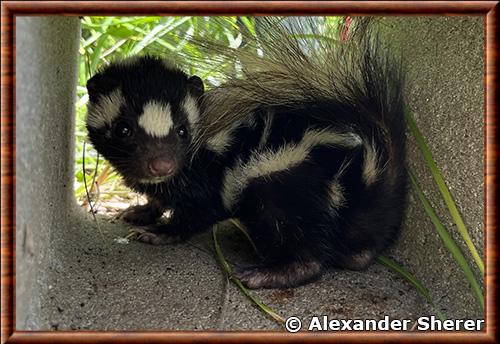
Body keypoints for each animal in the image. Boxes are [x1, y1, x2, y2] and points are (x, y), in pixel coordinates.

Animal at [86, 18, 406, 288]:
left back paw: (268, 273)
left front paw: (159, 232)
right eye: (123, 129)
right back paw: (358, 255)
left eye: (182, 130)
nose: (161, 164)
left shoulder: (211, 177)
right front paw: (140, 211)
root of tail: (361, 180)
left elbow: (200, 210)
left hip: (282, 181)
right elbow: (161, 198)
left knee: (305, 246)